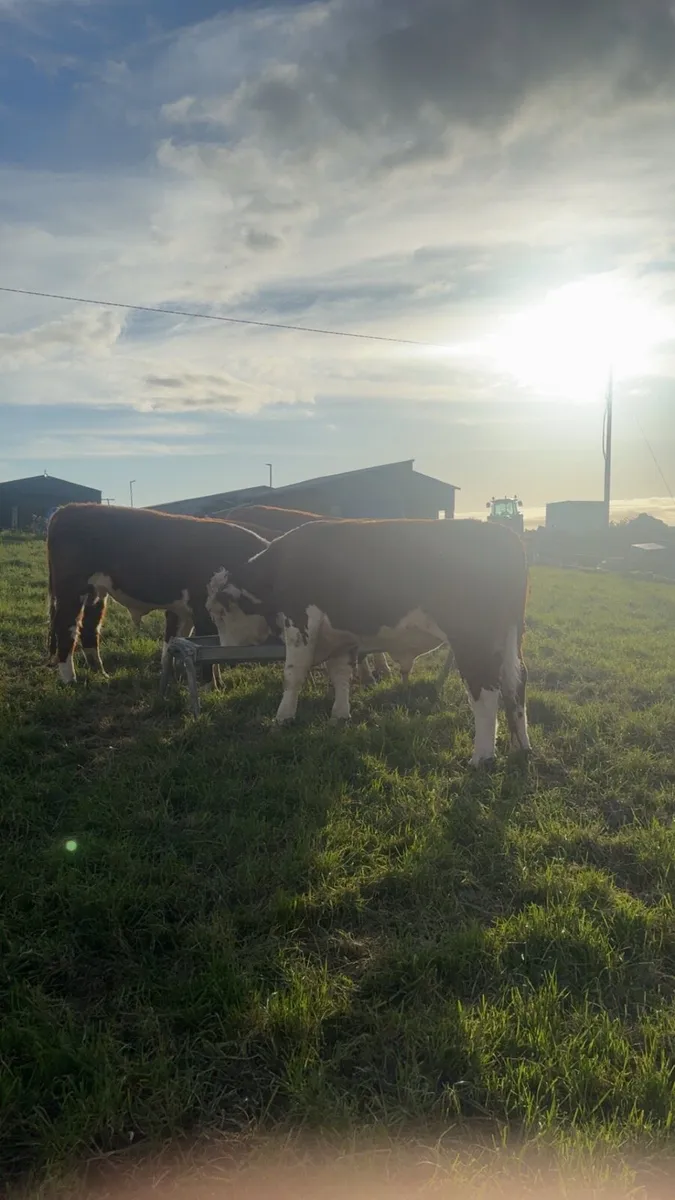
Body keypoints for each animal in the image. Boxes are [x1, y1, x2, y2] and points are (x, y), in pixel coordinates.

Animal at [46, 504, 269, 684]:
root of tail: (67, 509)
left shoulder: (183, 610)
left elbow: (177, 641)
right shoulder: (203, 609)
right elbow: (208, 649)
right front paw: (210, 686)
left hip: (96, 593)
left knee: (89, 628)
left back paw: (100, 673)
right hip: (70, 591)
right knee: (66, 628)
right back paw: (70, 680)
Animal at [205, 518, 531, 767]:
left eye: (219, 613)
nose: (225, 649)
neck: (281, 566)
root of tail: (502, 533)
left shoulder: (301, 622)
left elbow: (293, 675)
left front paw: (282, 718)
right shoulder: (341, 636)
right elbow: (341, 675)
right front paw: (339, 715)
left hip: (472, 641)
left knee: (485, 689)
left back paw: (482, 757)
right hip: (509, 640)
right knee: (515, 684)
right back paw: (521, 747)